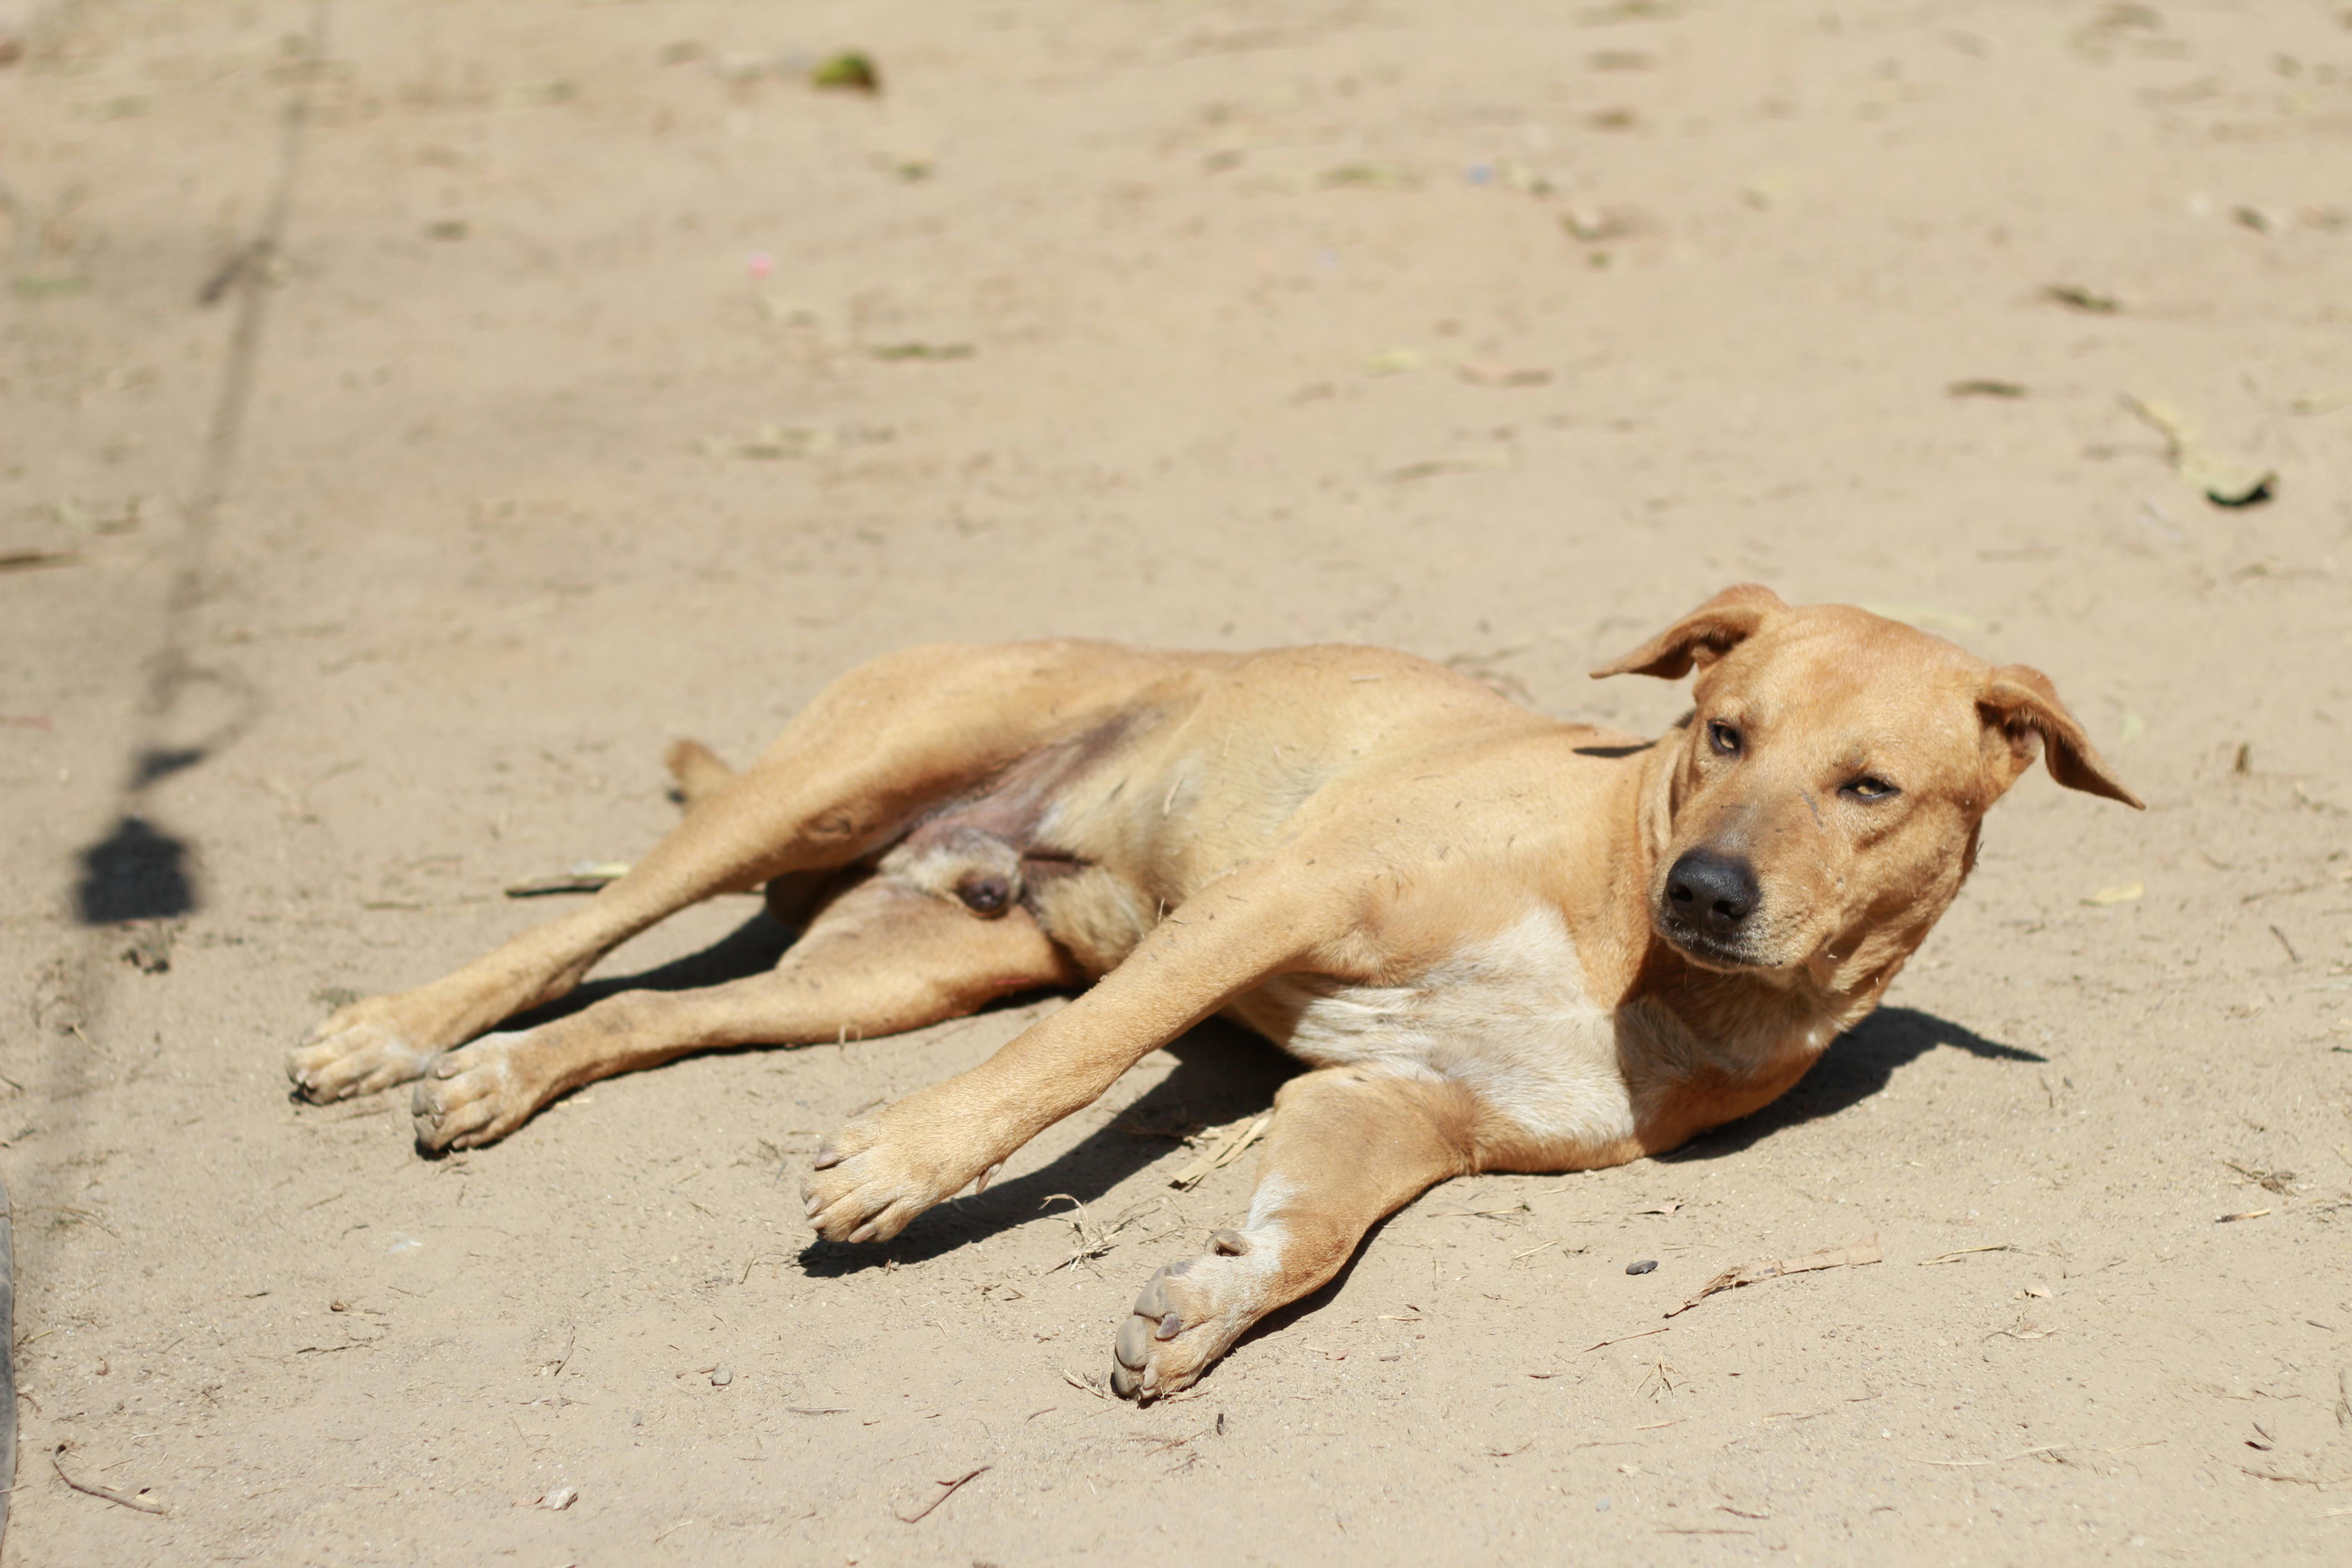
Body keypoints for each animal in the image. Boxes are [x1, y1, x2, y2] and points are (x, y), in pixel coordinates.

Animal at [284, 588, 2145, 1401]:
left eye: (1868, 788)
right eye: (1723, 733)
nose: (1710, 890)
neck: (1626, 928)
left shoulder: (1394, 1109)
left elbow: (1311, 1234)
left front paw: (1209, 1298)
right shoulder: (1273, 898)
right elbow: (1079, 1058)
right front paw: (909, 1162)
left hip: (888, 976)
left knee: (637, 1013)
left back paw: (494, 1080)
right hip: (826, 782)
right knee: (584, 930)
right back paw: (394, 1030)